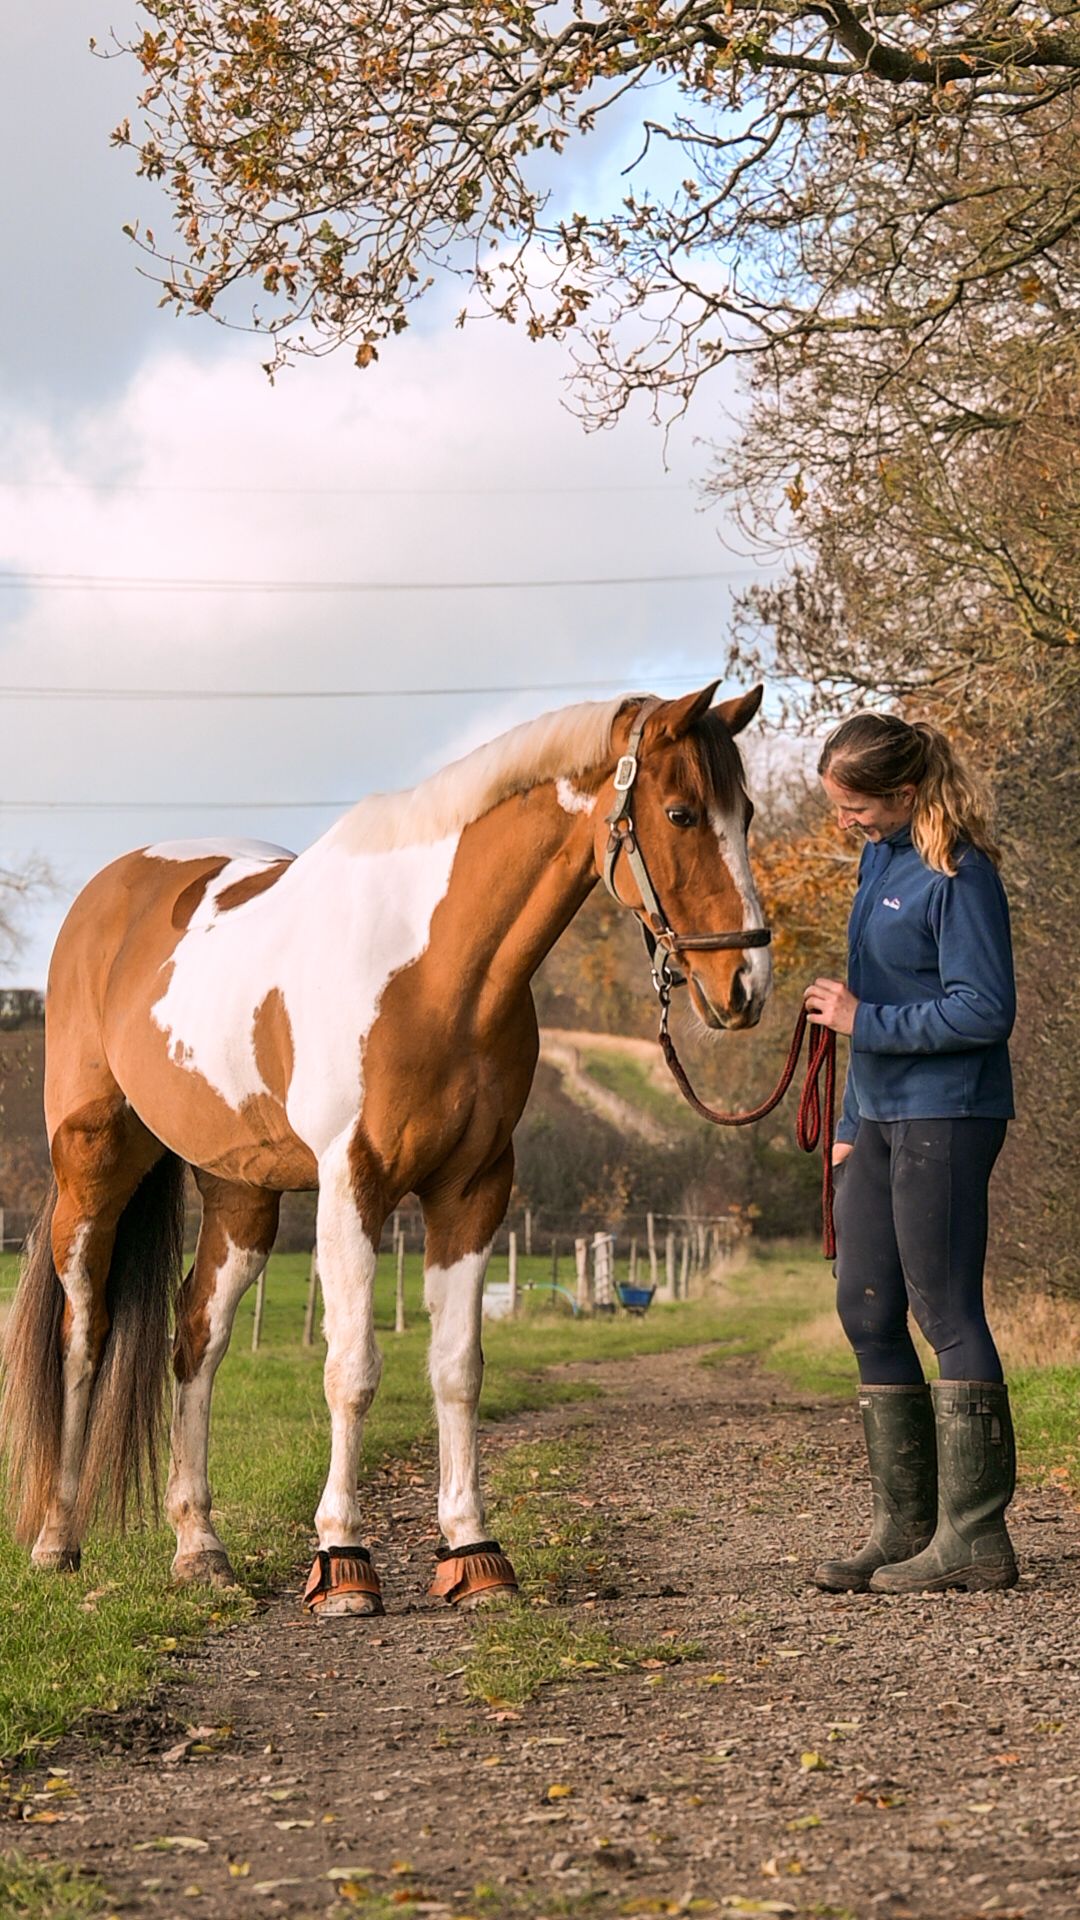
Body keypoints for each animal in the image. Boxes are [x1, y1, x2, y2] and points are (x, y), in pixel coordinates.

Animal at [0, 681, 772, 1615]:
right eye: (681, 812)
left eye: (747, 813)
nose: (746, 986)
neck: (435, 970)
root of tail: (111, 892)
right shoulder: (352, 1184)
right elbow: (353, 1368)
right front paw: (342, 1560)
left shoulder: (474, 1189)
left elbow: (457, 1367)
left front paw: (473, 1551)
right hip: (93, 1166)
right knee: (85, 1332)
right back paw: (56, 1540)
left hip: (240, 1195)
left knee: (195, 1340)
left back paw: (199, 1548)